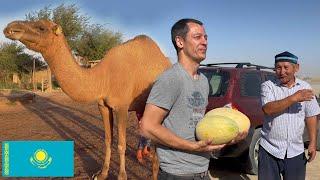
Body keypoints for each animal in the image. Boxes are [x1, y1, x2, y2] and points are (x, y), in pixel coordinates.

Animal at [3, 19, 171, 179]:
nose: (10, 28)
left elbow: (121, 144)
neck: (103, 77)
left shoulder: (121, 106)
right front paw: (102, 174)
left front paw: (121, 176)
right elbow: (108, 140)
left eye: (41, 27)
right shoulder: (103, 106)